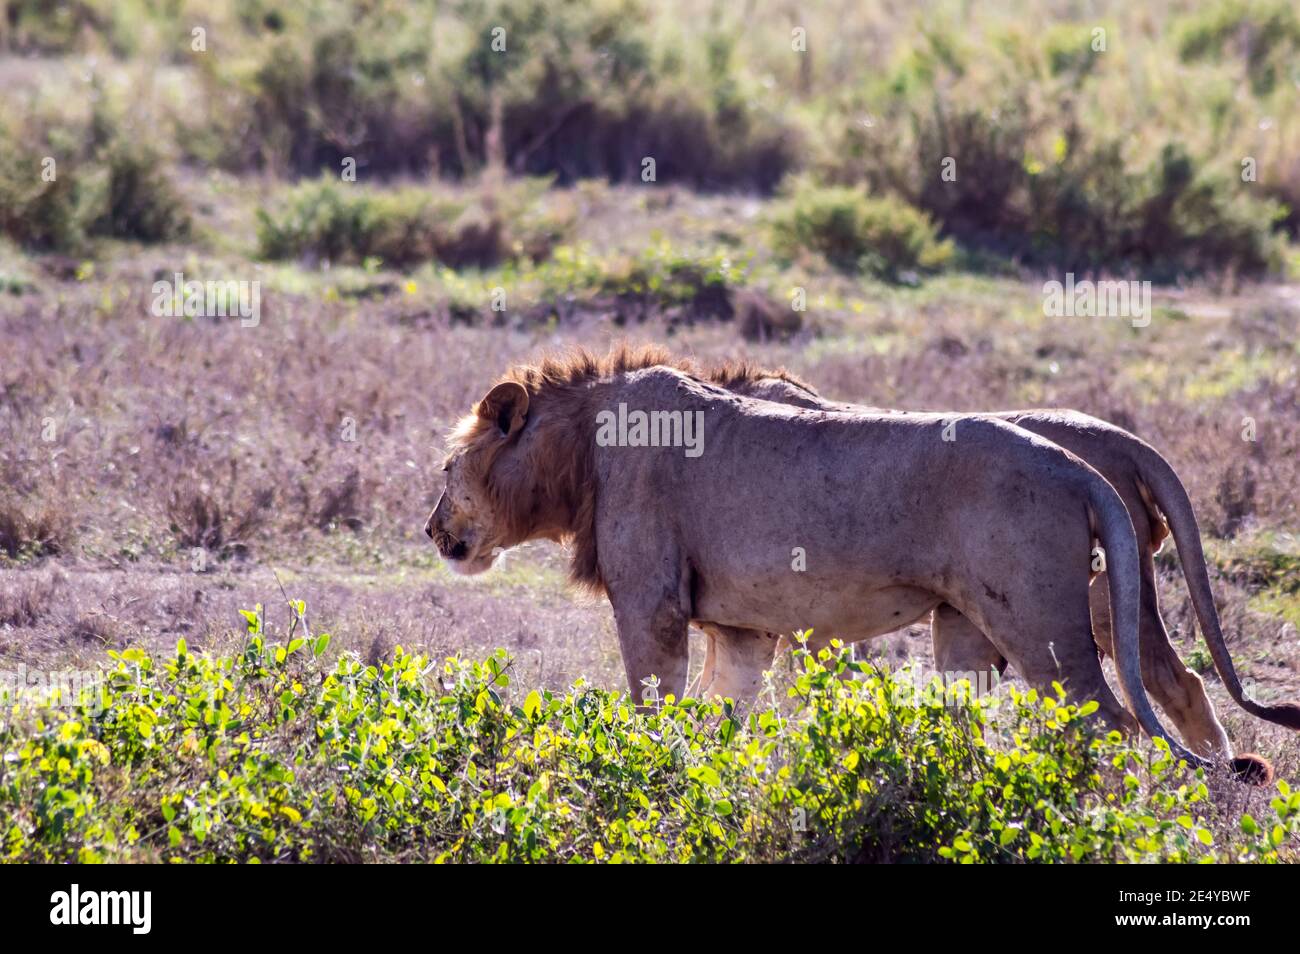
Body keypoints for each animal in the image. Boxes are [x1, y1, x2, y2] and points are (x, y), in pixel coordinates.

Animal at [434, 348, 1227, 774]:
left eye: (446, 468)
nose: (431, 530)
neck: (581, 453)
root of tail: (1084, 463)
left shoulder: (649, 604)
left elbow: (651, 710)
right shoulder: (744, 630)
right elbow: (716, 719)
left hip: (1046, 626)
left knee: (1117, 724)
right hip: (971, 625)